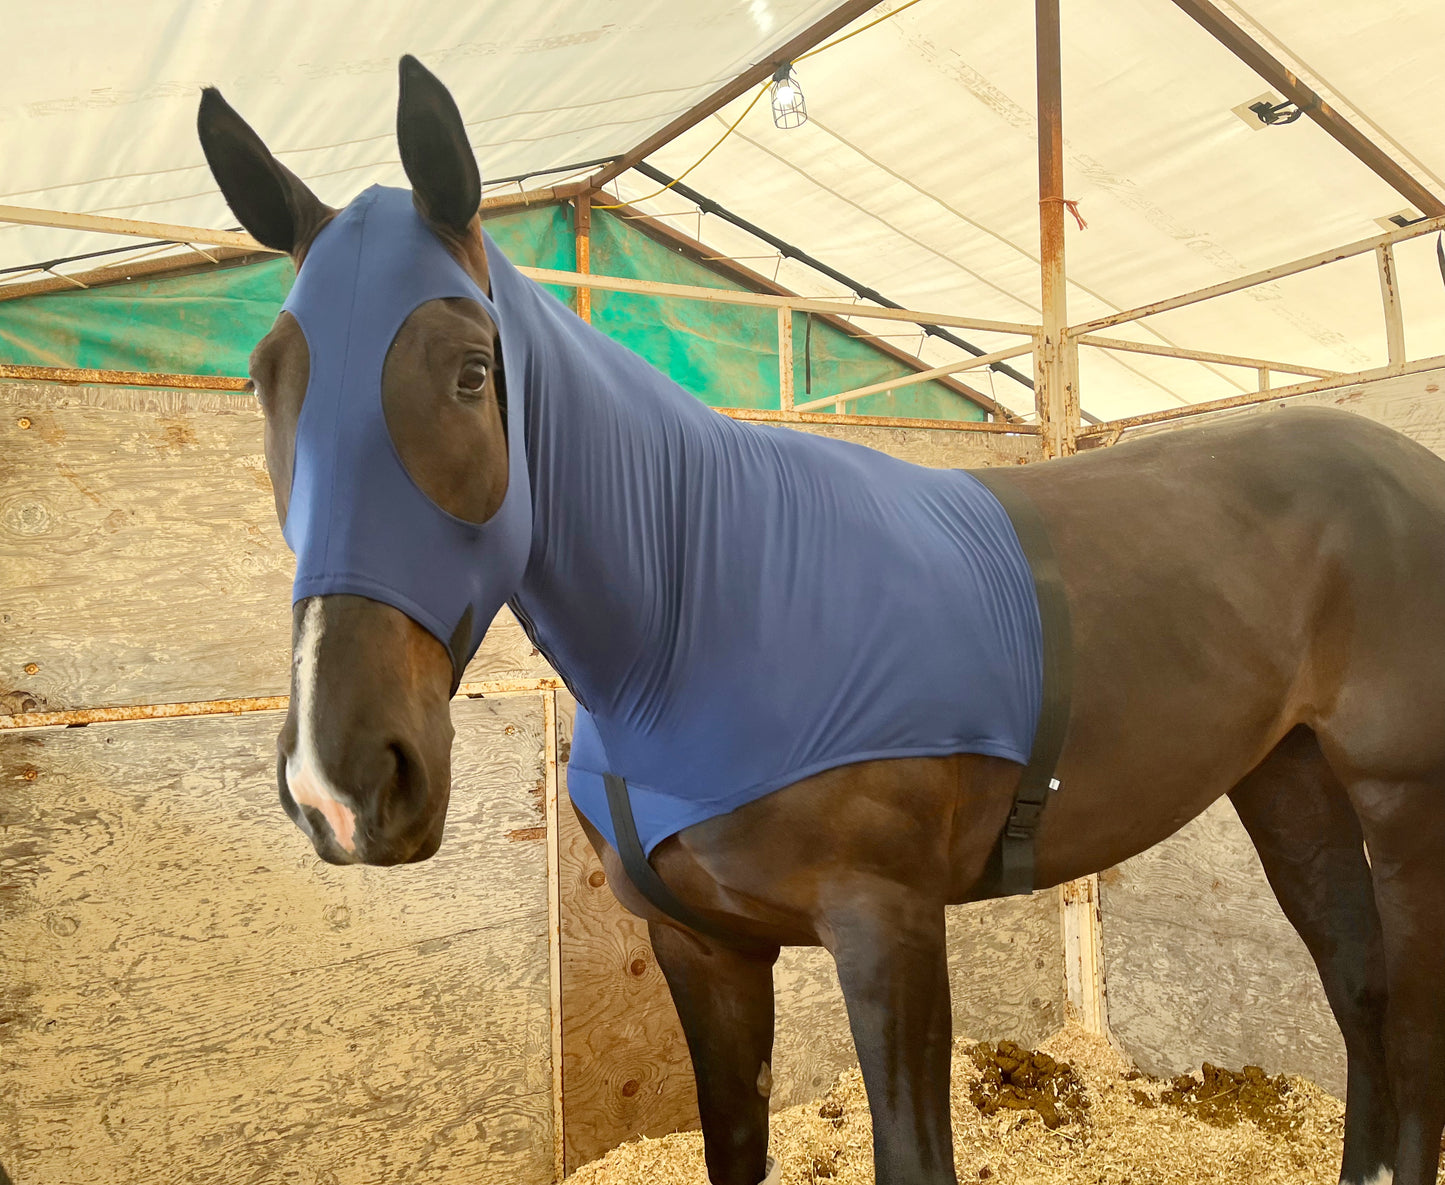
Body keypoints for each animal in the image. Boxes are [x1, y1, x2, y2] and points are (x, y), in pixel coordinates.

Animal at [197, 56, 1445, 1185]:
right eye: (264, 378)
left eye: (467, 371)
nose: (340, 780)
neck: (694, 618)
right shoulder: (704, 950)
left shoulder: (887, 931)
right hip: (1286, 781)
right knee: (1358, 987)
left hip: (1398, 799)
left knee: (1408, 1007)